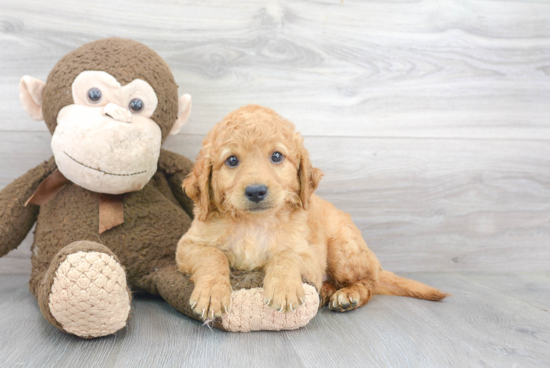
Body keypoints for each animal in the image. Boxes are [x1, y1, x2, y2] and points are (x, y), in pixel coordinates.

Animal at [177, 104, 448, 320]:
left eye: (277, 156)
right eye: (232, 160)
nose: (256, 191)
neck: (255, 223)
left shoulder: (308, 256)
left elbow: (285, 255)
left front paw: (284, 290)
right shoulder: (187, 246)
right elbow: (213, 255)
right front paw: (211, 294)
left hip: (343, 250)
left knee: (369, 283)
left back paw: (347, 296)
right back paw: (327, 292)